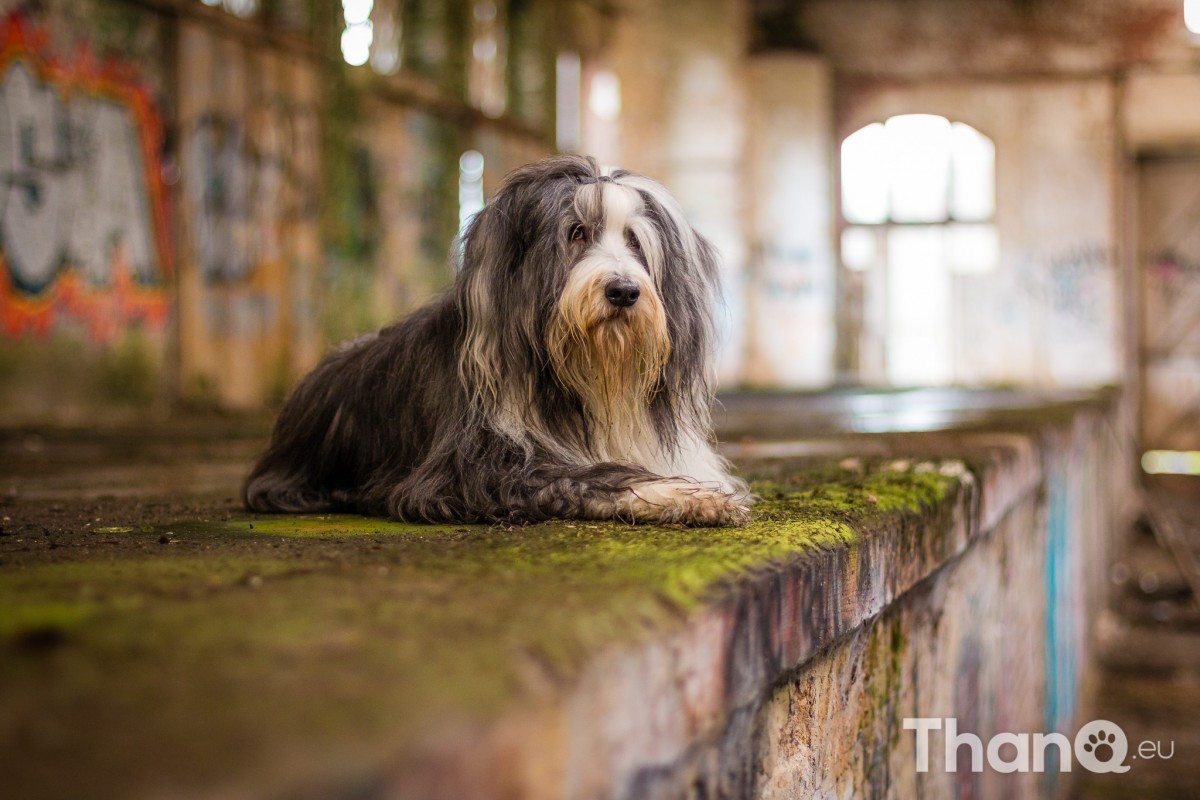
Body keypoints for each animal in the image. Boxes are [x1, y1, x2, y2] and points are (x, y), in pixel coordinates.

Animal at [242, 154, 748, 527]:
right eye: (576, 232)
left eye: (635, 241)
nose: (623, 291)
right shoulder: (470, 469)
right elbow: (589, 478)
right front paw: (687, 497)